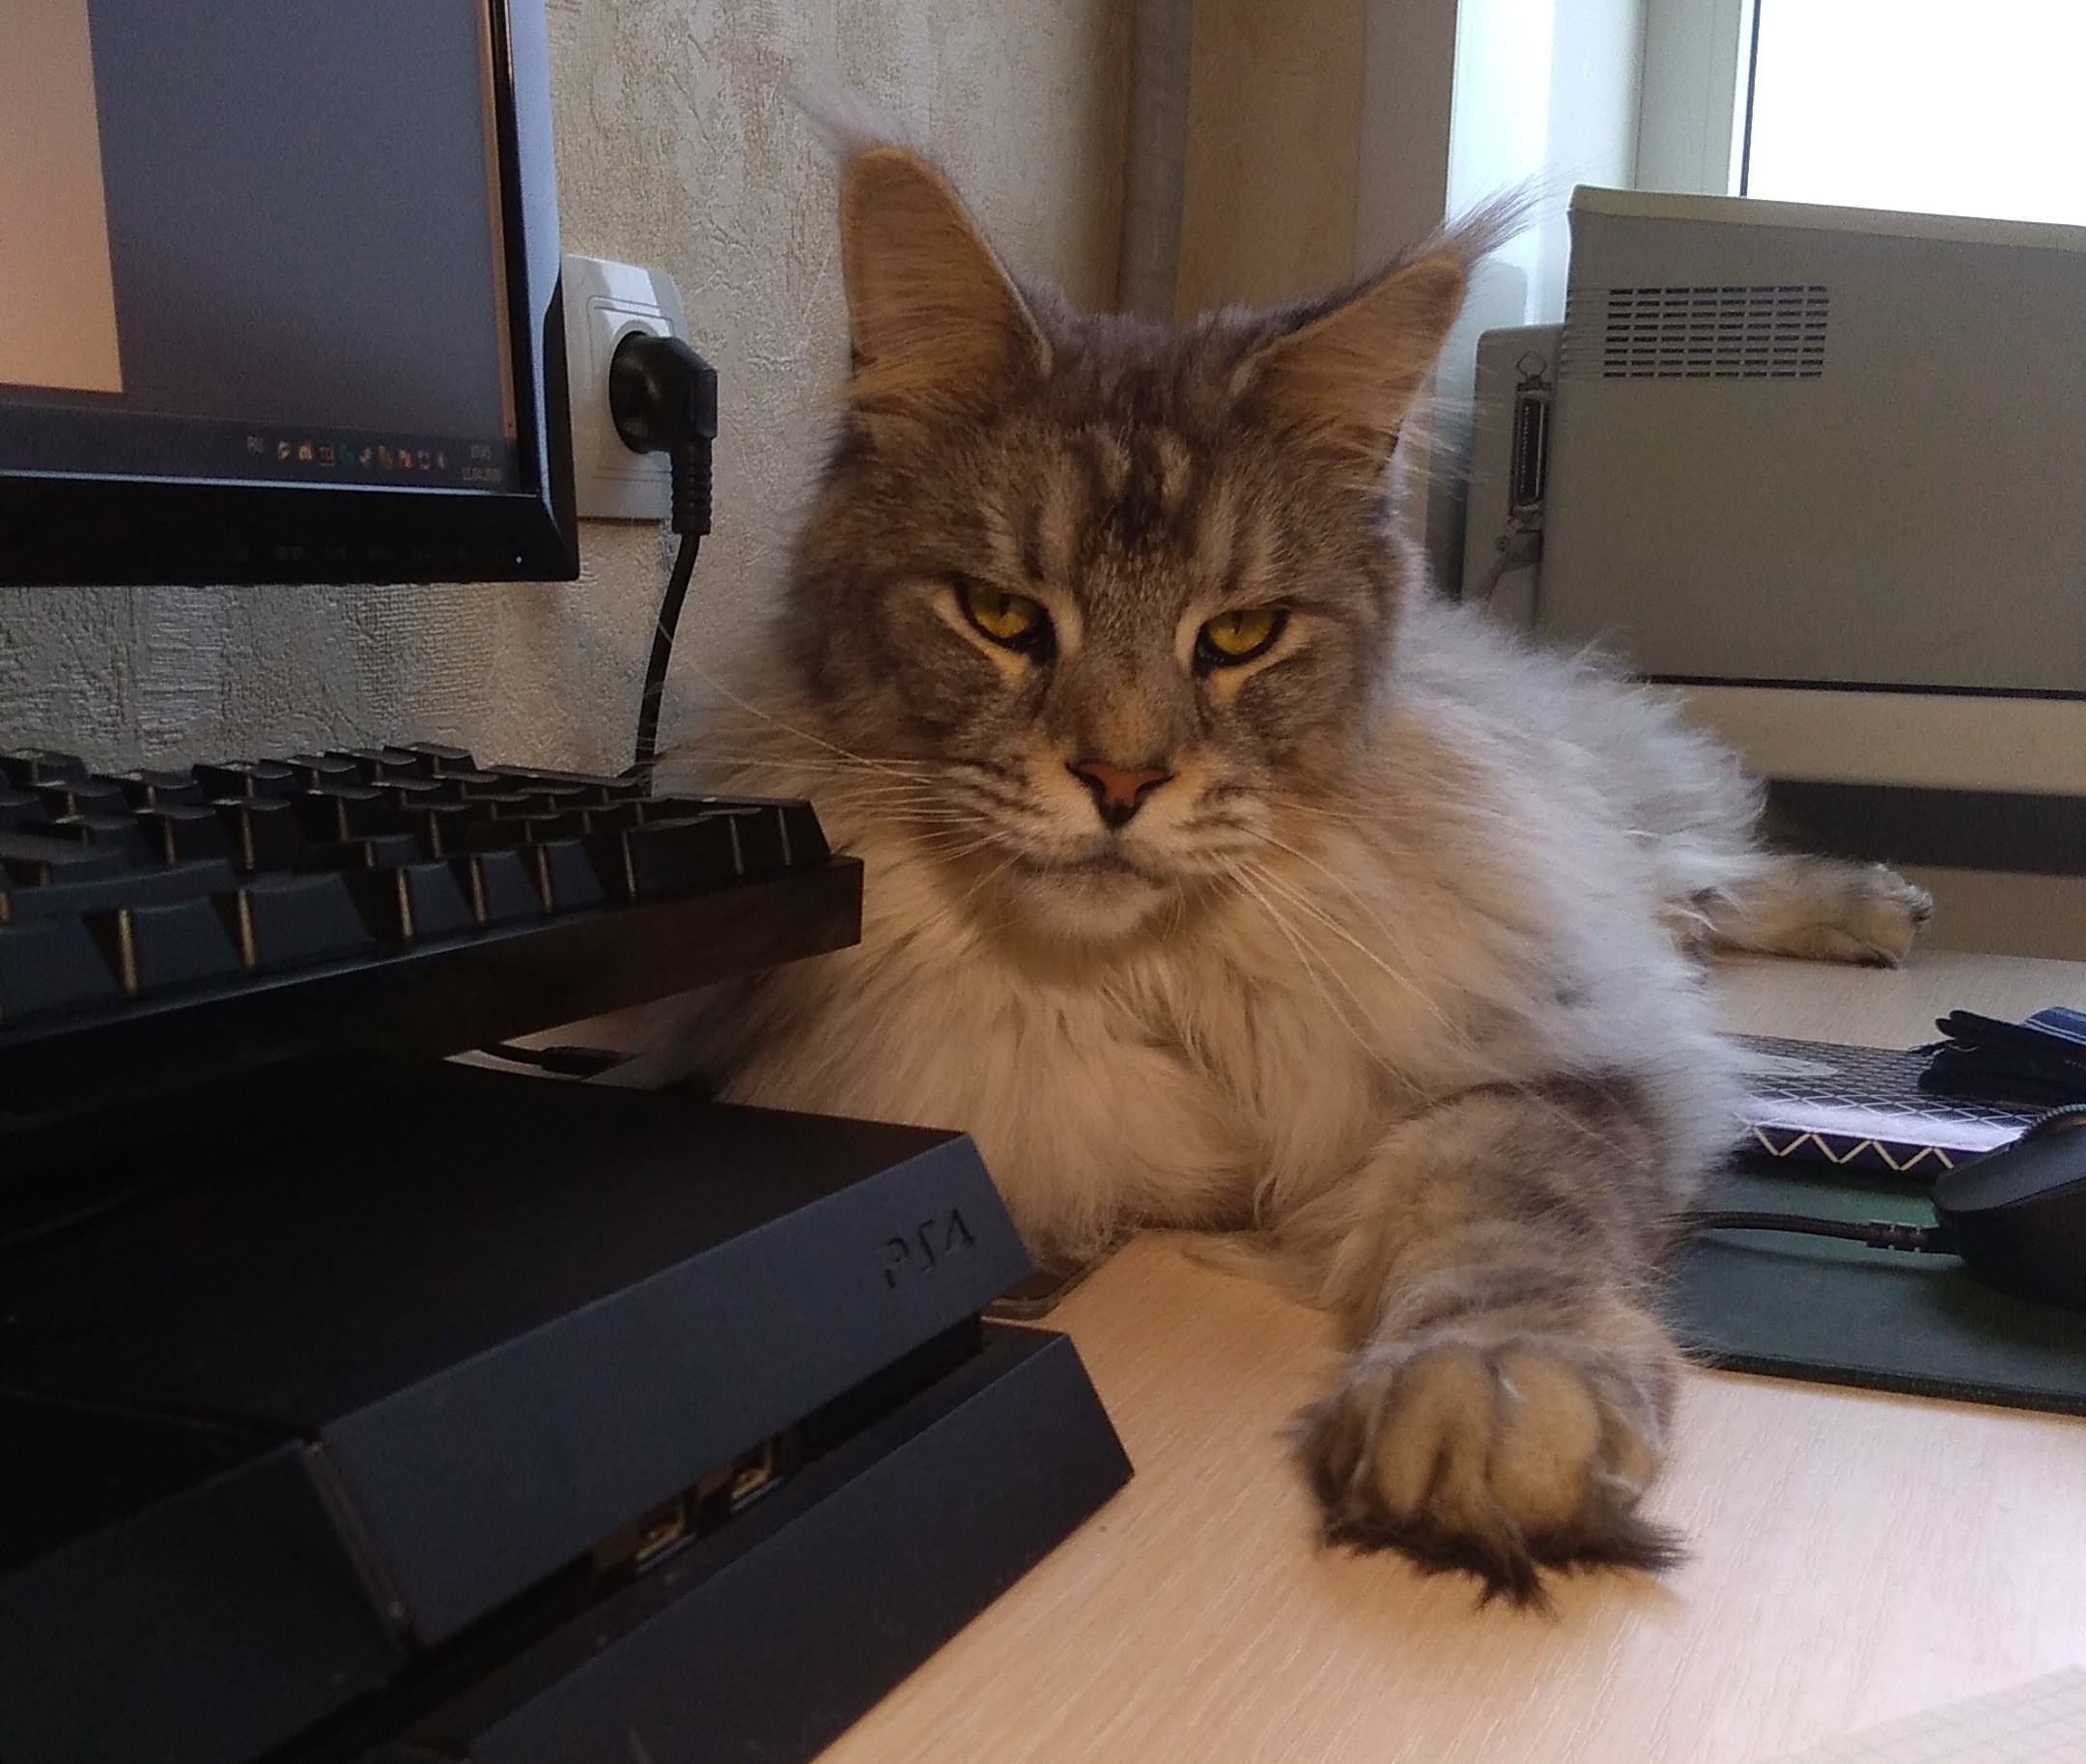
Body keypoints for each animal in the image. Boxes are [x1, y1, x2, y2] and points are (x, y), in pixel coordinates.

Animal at [657, 133, 1932, 1605]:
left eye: (1242, 635)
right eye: (1000, 615)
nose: (1120, 783)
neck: (1153, 981)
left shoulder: (1547, 1063)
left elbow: (1509, 1228)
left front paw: (1493, 1404)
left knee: (1699, 861)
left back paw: (1874, 905)